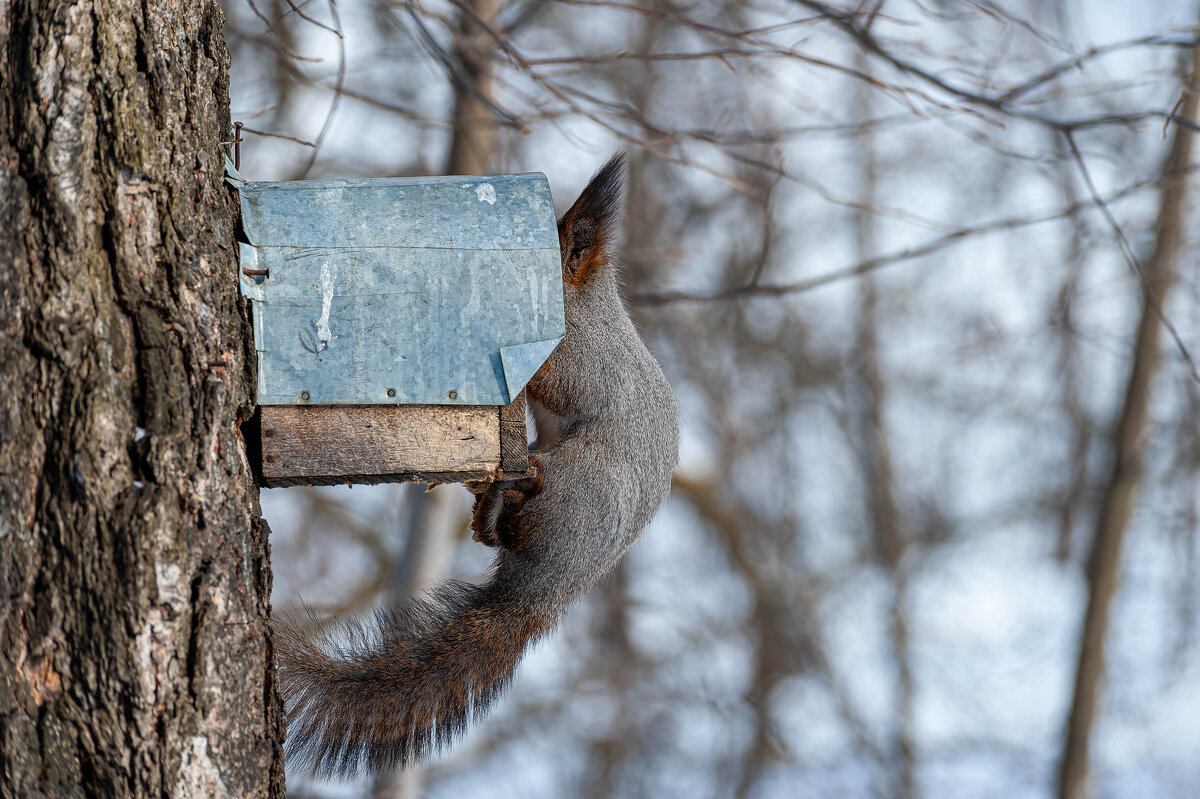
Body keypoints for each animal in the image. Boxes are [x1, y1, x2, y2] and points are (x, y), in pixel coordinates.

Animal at [274, 152, 681, 772]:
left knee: (513, 525)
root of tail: (545, 591)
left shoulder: (582, 360)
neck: (582, 305)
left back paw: (507, 495)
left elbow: (549, 379)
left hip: (575, 484)